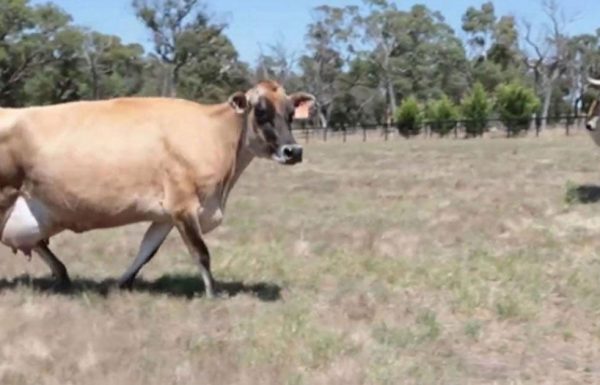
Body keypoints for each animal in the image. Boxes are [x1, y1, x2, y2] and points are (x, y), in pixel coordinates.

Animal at [0, 80, 316, 296]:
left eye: (291, 113)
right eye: (260, 111)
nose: (293, 151)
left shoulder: (166, 214)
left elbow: (146, 251)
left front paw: (121, 283)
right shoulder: (184, 205)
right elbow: (201, 252)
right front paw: (213, 295)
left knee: (40, 245)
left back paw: (64, 276)